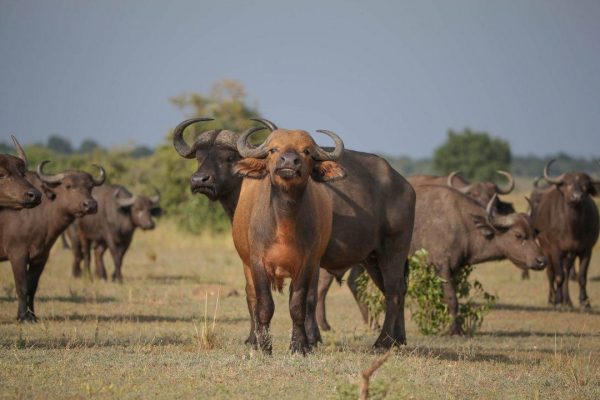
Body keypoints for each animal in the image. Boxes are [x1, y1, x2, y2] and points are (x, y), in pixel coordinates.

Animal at [0, 161, 105, 320]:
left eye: (90, 186)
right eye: (68, 185)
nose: (91, 205)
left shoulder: (41, 256)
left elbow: (32, 287)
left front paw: (32, 316)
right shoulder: (17, 254)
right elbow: (21, 286)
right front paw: (23, 317)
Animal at [172, 117, 418, 348]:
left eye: (229, 158)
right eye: (199, 157)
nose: (199, 180)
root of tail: (405, 185)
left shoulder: (313, 259)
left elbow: (308, 298)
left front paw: (310, 339)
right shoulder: (250, 258)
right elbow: (252, 296)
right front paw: (254, 339)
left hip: (394, 250)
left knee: (394, 290)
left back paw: (383, 341)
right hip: (372, 258)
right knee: (394, 289)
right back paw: (399, 338)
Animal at [532, 161, 596, 308]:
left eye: (586, 186)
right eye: (567, 183)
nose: (577, 197)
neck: (572, 228)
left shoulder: (586, 250)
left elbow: (581, 277)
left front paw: (584, 302)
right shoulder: (555, 250)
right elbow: (558, 276)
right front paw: (557, 300)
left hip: (570, 255)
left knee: (567, 273)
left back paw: (568, 301)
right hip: (547, 250)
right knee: (551, 273)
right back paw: (553, 299)